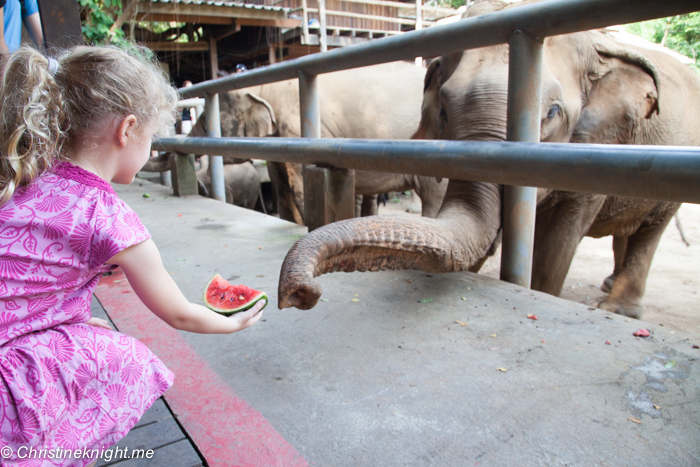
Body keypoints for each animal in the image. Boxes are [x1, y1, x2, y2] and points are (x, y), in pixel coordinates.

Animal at [278, 0, 700, 322]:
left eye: (552, 114)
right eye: (444, 111)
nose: (300, 293)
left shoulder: (599, 145)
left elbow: (557, 244)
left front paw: (542, 288)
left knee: (649, 231)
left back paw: (617, 308)